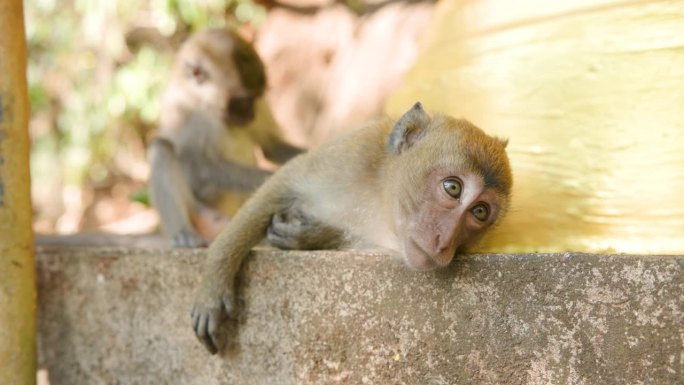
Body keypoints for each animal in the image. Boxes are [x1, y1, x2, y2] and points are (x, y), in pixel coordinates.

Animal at [148, 28, 304, 248]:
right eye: (242, 101)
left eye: (256, 97)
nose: (251, 115)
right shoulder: (189, 114)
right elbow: (201, 169)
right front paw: (278, 178)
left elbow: (271, 146)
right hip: (202, 213)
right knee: (162, 147)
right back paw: (184, 232)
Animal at [190, 103, 510, 354]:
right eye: (452, 187)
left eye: (480, 212)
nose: (444, 241)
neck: (379, 199)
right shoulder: (347, 157)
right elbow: (283, 183)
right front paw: (214, 281)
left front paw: (311, 236)